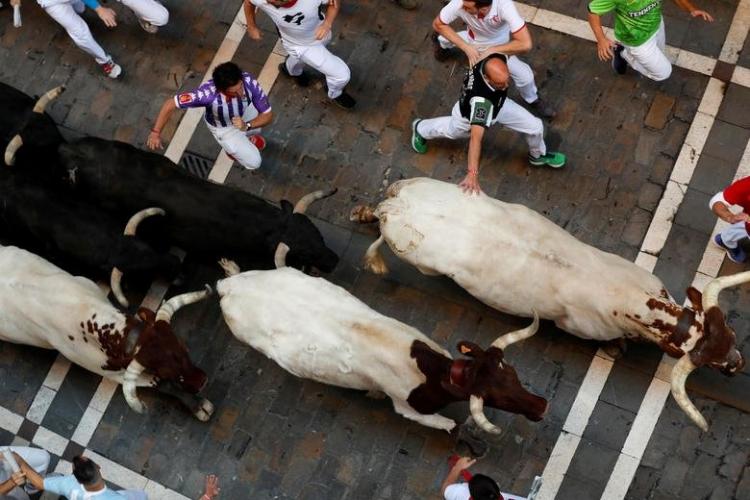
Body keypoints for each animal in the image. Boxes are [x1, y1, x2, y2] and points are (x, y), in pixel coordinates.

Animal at [214, 258, 548, 434]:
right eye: (495, 397)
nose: (541, 406)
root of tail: (229, 288)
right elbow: (447, 424)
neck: (430, 371)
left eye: (511, 372)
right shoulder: (409, 410)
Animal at [354, 178, 750, 432]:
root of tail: (397, 205)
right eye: (710, 360)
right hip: (422, 263)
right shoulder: (583, 329)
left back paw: (362, 212)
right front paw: (618, 347)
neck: (634, 300)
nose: (737, 364)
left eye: (730, 333)